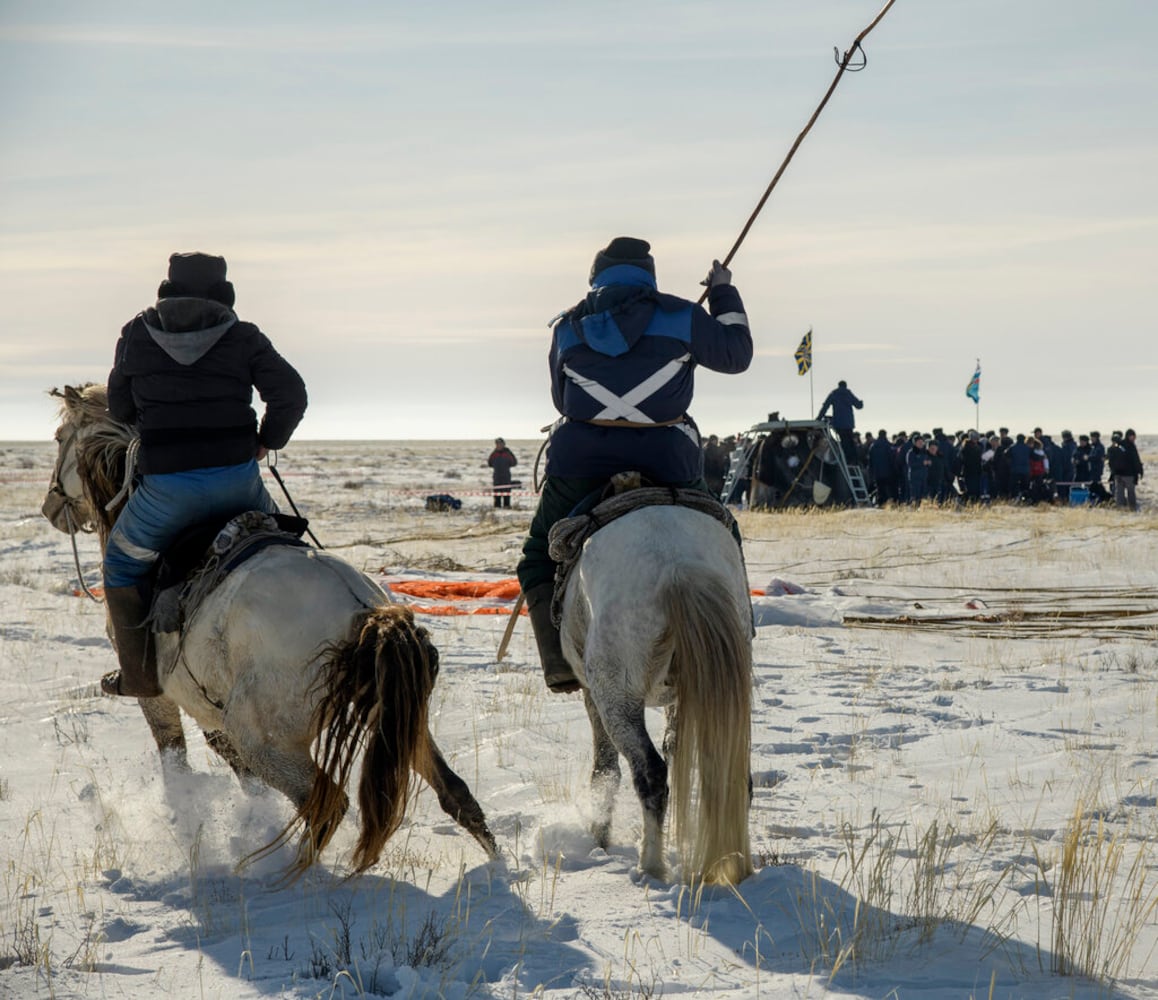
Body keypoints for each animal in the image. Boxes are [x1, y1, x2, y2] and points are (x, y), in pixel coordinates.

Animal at [39, 386, 493, 879]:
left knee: (327, 804)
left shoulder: (161, 698)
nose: (49, 507)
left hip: (268, 740)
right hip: (398, 719)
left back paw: (289, 876)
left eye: (60, 438)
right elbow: (245, 781)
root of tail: (365, 611)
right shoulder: (213, 713)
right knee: (454, 792)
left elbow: (175, 758)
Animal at [555, 500, 755, 884]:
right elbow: (676, 748)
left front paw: (600, 839)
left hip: (616, 698)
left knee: (650, 773)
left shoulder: (592, 694)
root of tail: (677, 564)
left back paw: (650, 866)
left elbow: (605, 769)